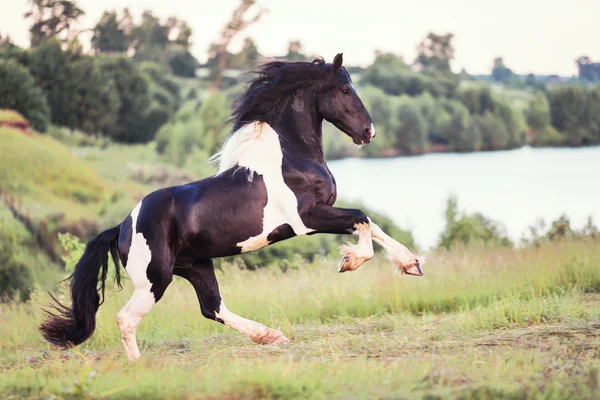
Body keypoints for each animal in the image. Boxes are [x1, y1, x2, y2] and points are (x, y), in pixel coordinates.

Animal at [39, 51, 424, 360]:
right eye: (345, 90)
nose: (369, 132)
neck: (291, 157)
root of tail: (121, 227)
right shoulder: (308, 219)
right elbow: (362, 220)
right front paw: (350, 261)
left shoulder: (322, 214)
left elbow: (372, 225)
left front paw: (411, 265)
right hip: (154, 279)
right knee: (127, 318)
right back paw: (138, 367)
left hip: (196, 266)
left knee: (213, 308)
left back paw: (272, 336)